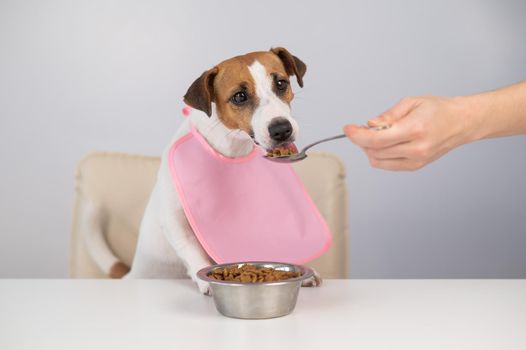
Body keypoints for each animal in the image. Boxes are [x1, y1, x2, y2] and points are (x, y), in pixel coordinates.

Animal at [82, 46, 326, 292]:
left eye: (281, 84)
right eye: (240, 96)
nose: (282, 129)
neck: (232, 146)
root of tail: (131, 274)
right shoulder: (174, 218)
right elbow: (191, 247)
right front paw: (205, 277)